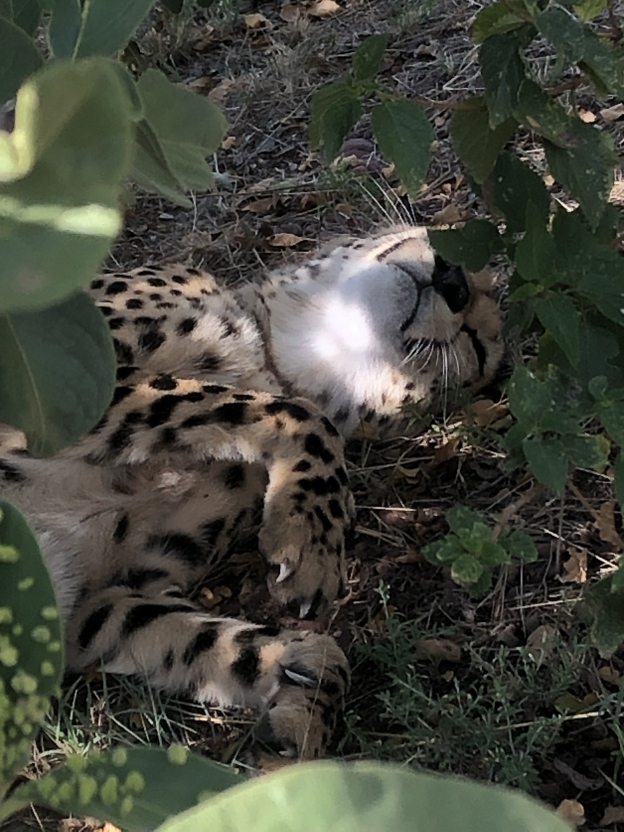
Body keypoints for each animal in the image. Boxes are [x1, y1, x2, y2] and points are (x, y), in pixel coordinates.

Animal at [0, 225, 503, 759]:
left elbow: (201, 641)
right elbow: (295, 412)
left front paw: (303, 698)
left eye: (476, 346)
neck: (273, 353)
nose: (453, 280)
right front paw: (312, 537)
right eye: (440, 236)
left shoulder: (99, 601)